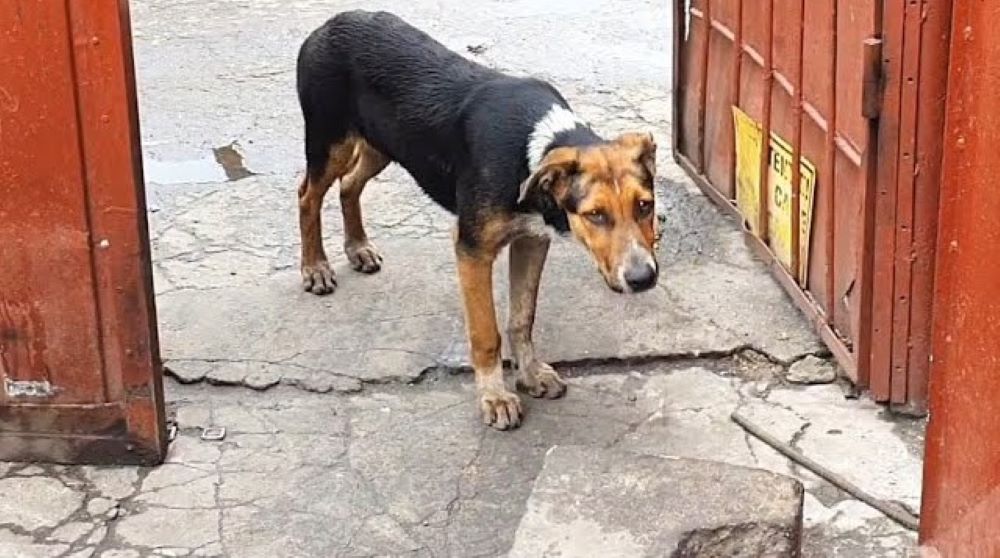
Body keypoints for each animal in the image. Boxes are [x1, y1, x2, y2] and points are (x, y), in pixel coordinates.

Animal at [292, 9, 660, 434]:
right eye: (595, 215)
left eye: (645, 206)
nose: (643, 279)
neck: (530, 151)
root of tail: (332, 22)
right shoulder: (472, 249)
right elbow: (487, 333)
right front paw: (495, 397)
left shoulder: (532, 239)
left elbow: (522, 317)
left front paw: (530, 374)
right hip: (328, 141)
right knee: (308, 196)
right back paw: (315, 267)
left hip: (381, 145)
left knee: (350, 185)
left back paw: (358, 248)